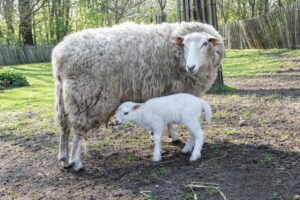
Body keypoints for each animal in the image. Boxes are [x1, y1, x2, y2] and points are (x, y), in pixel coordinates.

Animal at [52, 22, 225, 172]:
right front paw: (174, 137)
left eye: (205, 43)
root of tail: (60, 54)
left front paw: (168, 136)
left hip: (65, 95)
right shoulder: (174, 89)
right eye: (184, 45)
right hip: (85, 96)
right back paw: (76, 162)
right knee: (78, 131)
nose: (191, 67)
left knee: (64, 125)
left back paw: (64, 158)